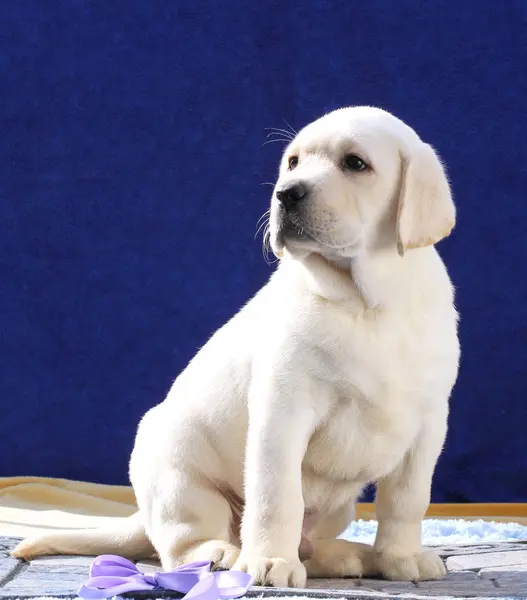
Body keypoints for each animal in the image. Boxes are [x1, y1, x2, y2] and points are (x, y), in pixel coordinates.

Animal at [14, 106, 460, 584]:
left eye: (355, 163)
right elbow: (276, 496)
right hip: (178, 475)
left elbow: (407, 500)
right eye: (293, 162)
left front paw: (401, 557)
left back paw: (348, 555)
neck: (367, 300)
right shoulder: (283, 411)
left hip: (337, 510)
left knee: (309, 543)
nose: (286, 194)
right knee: (179, 544)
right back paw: (221, 554)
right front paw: (270, 561)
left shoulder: (429, 423)